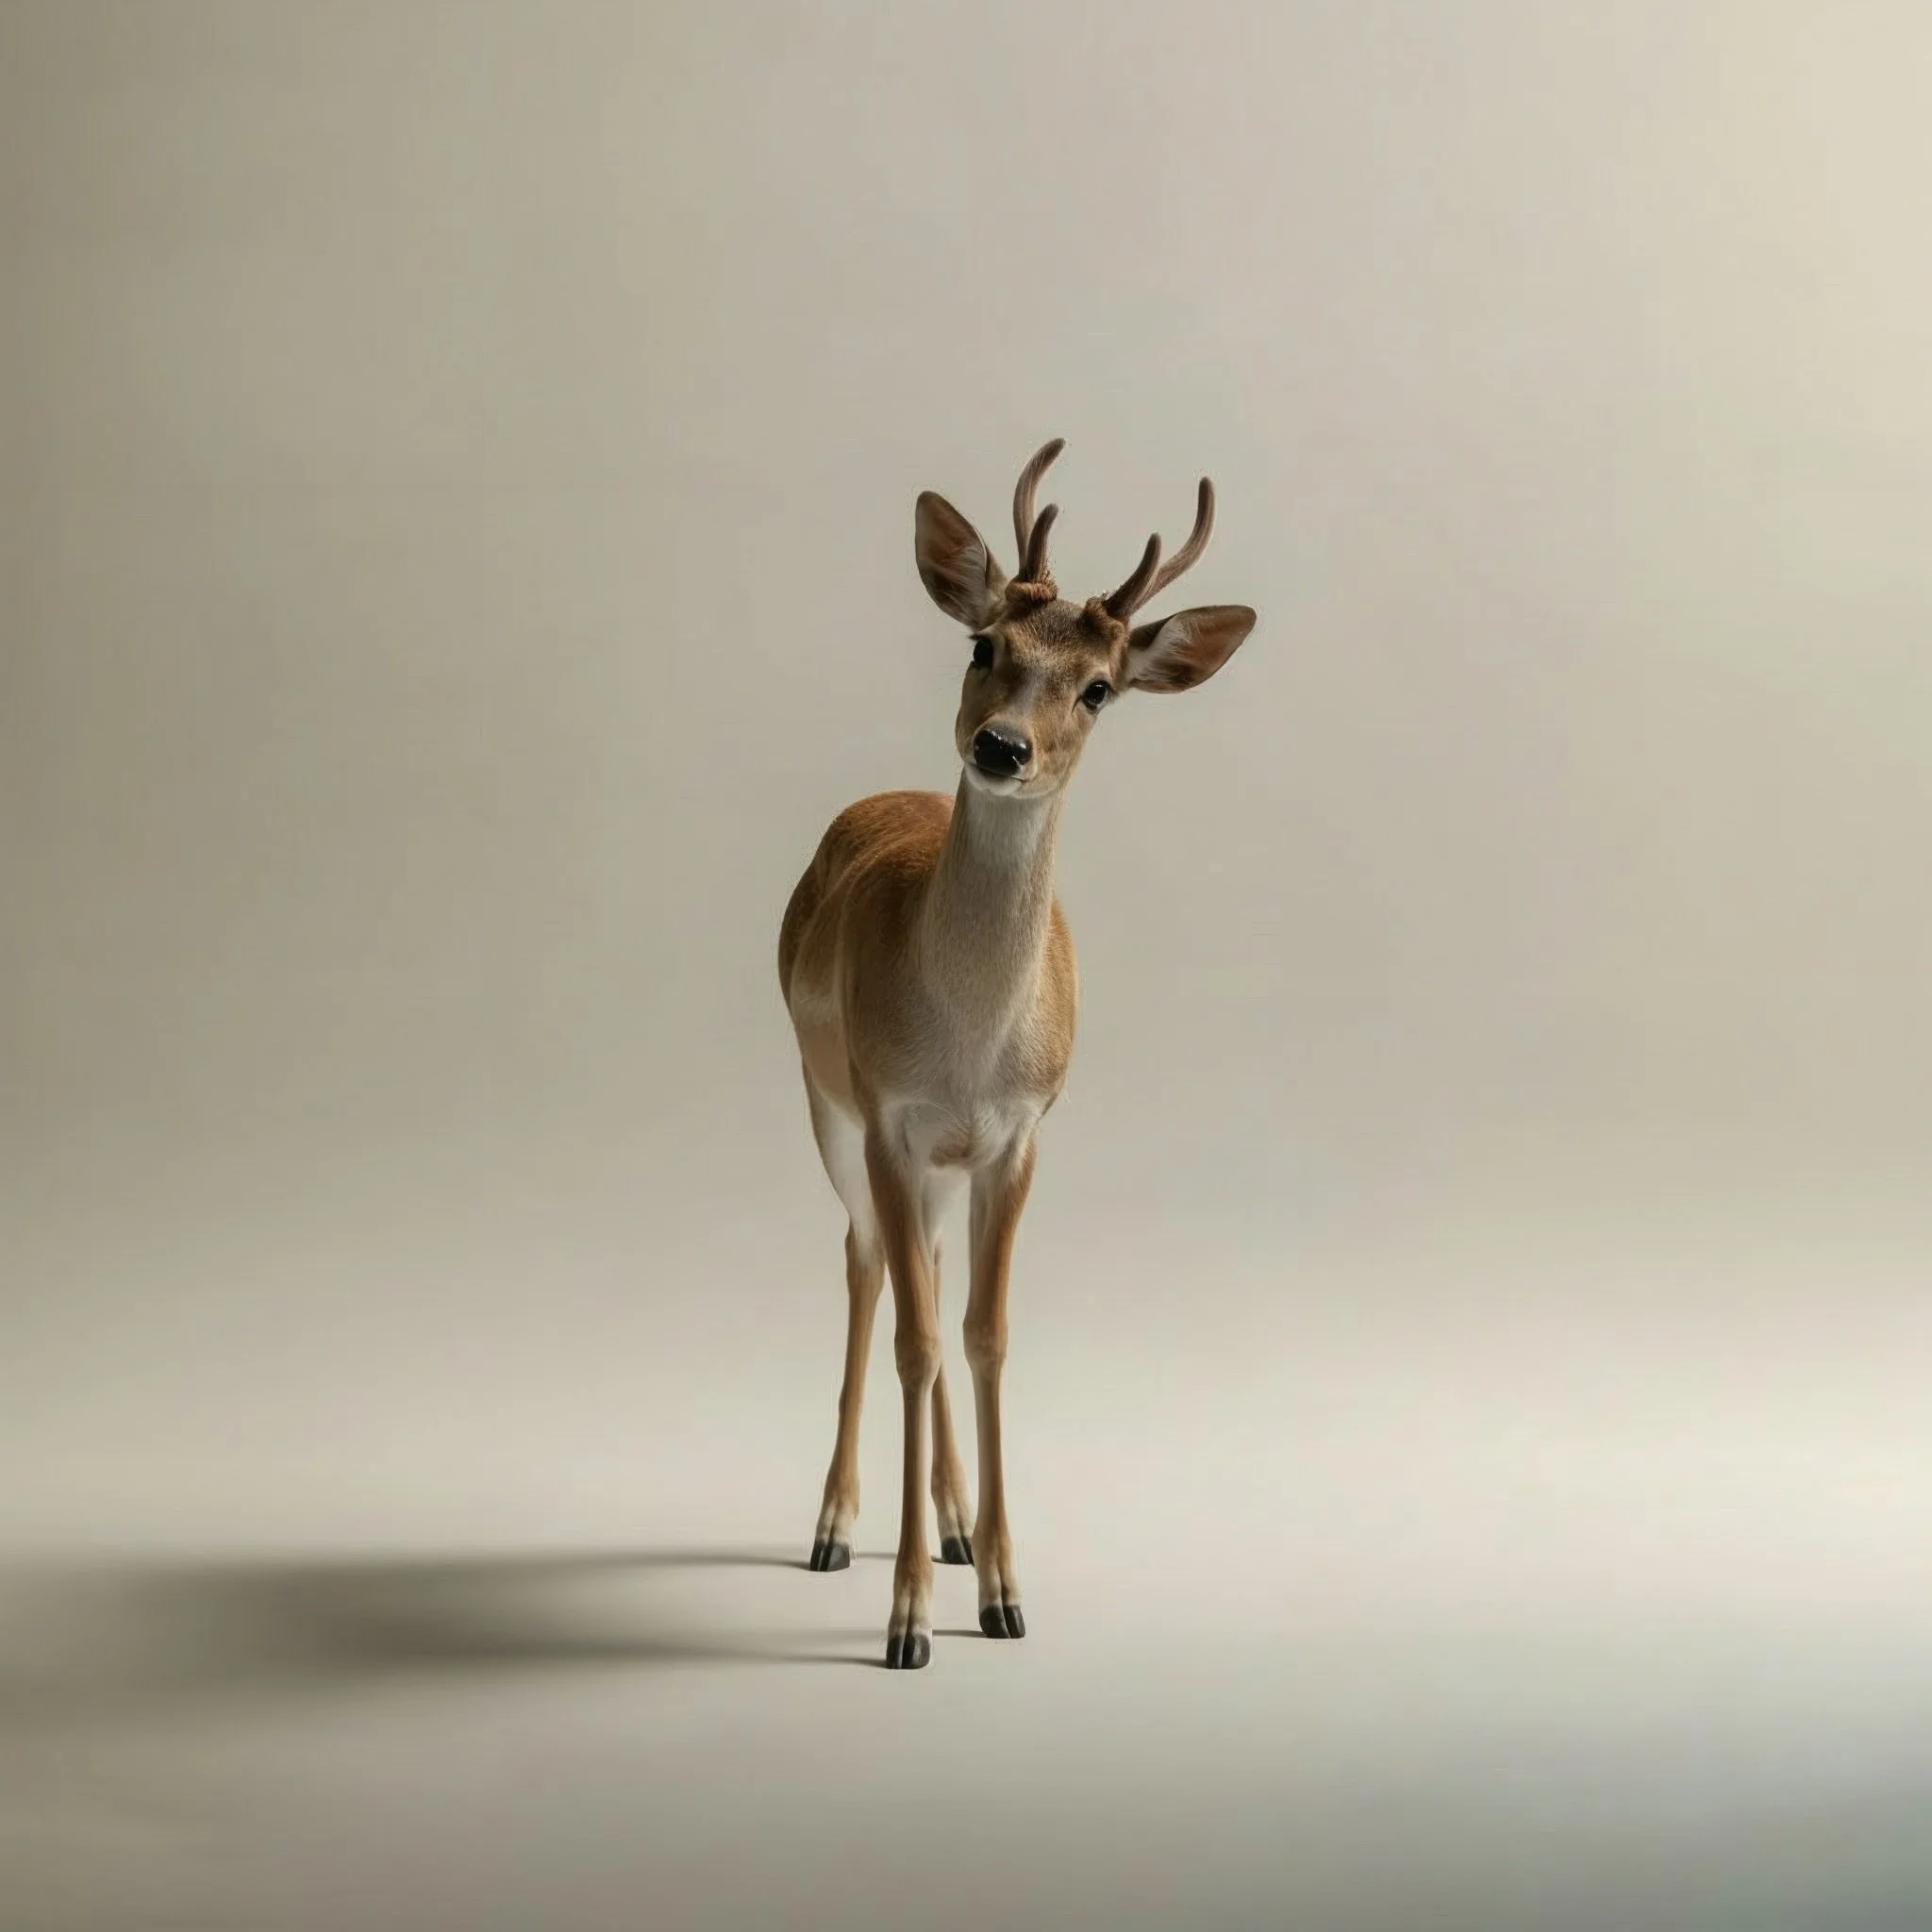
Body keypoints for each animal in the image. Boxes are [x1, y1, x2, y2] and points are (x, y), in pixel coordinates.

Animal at [777, 438, 1257, 1669]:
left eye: (1097, 687)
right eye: (982, 643)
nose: (1002, 745)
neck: (966, 1044)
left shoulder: (1017, 1134)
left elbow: (984, 1334)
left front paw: (1000, 1588)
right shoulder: (890, 1116)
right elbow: (913, 1339)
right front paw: (905, 1620)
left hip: (938, 1166)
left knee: (932, 1275)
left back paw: (952, 1525)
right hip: (826, 1105)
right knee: (863, 1263)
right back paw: (833, 1527)